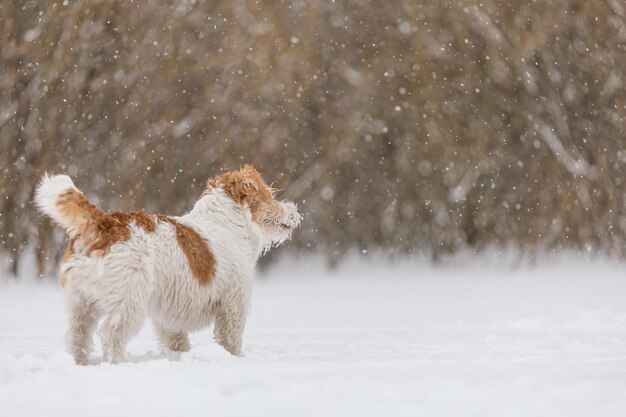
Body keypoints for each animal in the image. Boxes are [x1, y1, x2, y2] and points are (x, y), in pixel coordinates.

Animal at [35, 164, 302, 362]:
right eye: (270, 195)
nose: (295, 212)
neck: (226, 223)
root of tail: (101, 223)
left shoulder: (169, 317)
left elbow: (177, 342)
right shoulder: (233, 304)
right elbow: (230, 340)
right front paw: (233, 359)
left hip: (81, 304)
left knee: (77, 337)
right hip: (127, 303)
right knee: (111, 336)